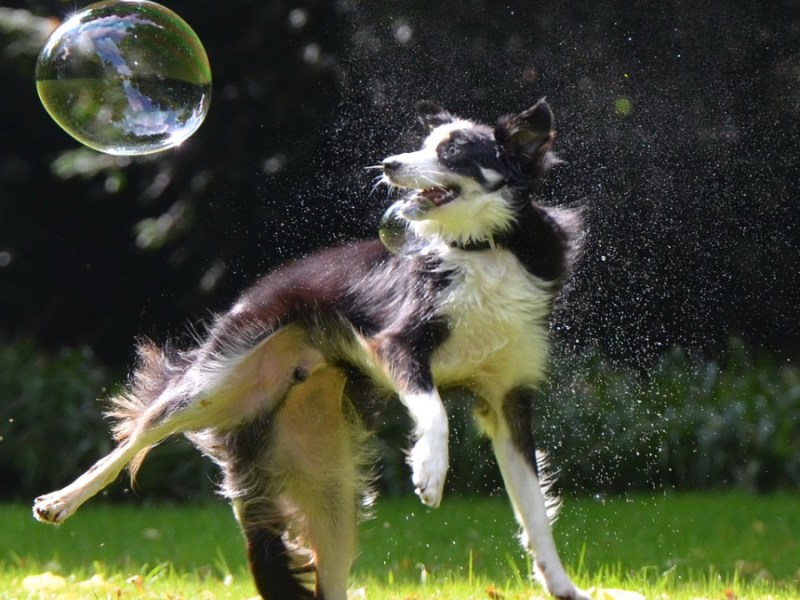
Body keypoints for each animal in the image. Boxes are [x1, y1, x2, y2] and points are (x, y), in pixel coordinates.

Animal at [31, 99, 588, 600]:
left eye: (451, 150)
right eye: (424, 144)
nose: (389, 164)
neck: (484, 248)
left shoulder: (509, 400)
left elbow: (535, 513)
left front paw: (564, 588)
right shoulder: (397, 344)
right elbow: (433, 410)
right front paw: (429, 471)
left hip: (330, 485)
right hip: (213, 379)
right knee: (134, 439)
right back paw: (60, 501)